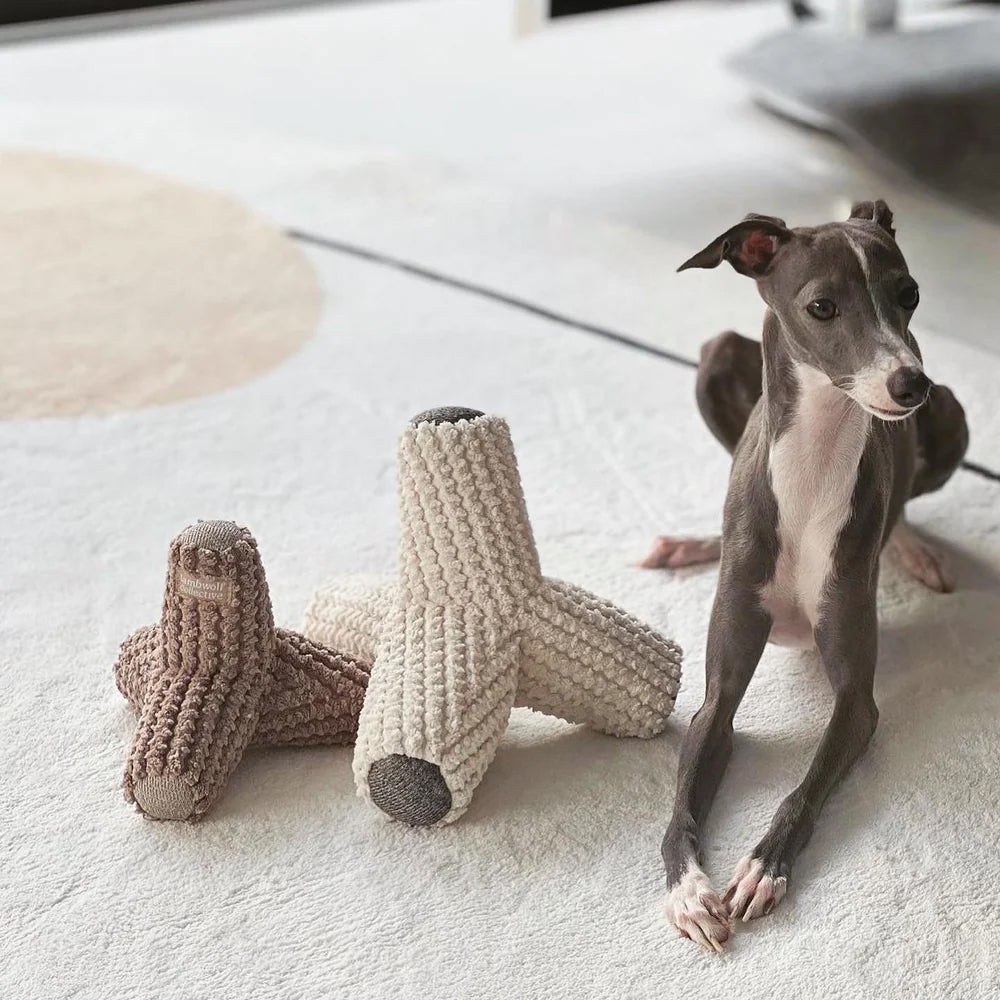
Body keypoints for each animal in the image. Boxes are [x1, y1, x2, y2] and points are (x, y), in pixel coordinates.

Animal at [644, 197, 964, 952]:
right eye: (822, 306)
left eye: (909, 294)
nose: (911, 384)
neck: (814, 465)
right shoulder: (717, 699)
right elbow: (681, 807)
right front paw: (688, 890)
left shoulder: (857, 702)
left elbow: (804, 786)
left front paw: (763, 868)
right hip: (715, 359)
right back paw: (691, 544)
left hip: (955, 419)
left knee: (909, 501)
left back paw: (912, 547)